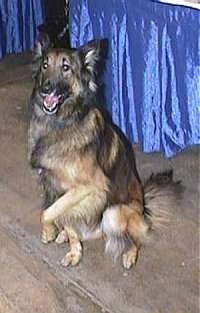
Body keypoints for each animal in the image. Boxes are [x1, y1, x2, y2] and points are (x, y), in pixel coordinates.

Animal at [28, 37, 183, 268]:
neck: (61, 123)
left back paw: (130, 254)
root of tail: (144, 209)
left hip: (113, 213)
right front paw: (73, 250)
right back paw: (66, 235)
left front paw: (48, 230)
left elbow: (48, 213)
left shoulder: (91, 186)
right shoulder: (55, 186)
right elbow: (60, 215)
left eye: (66, 68)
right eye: (45, 65)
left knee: (138, 236)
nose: (45, 89)